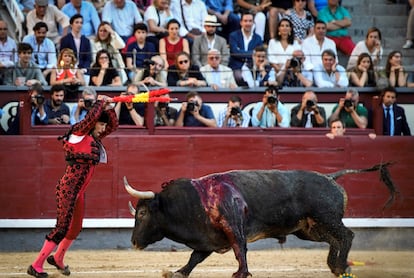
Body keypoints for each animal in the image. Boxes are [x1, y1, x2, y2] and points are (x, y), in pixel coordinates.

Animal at [123, 163, 398, 278]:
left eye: (142, 213)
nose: (133, 242)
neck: (194, 200)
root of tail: (331, 177)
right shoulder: (208, 239)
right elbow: (194, 258)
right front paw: (176, 273)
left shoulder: (233, 228)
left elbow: (240, 251)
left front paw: (241, 273)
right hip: (309, 228)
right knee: (335, 240)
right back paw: (337, 266)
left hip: (326, 218)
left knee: (347, 235)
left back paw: (340, 267)